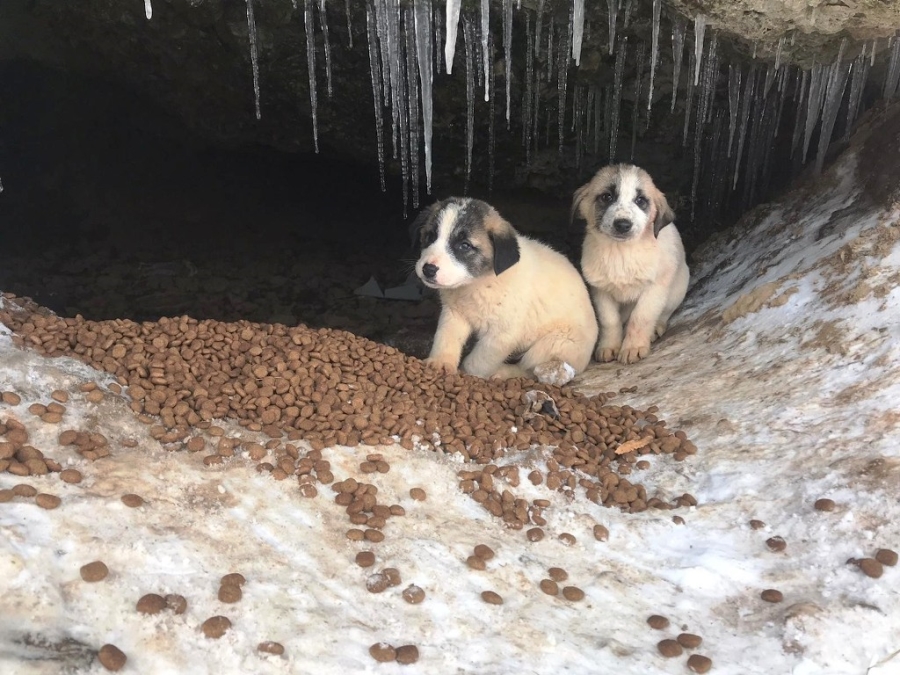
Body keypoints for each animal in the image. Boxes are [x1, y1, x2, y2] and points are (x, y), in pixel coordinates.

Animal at [414, 197, 596, 386]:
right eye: (430, 236)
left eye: (465, 246)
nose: (428, 269)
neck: (476, 284)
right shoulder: (454, 314)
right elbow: (445, 339)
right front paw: (440, 362)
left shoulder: (501, 335)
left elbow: (476, 362)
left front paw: (467, 375)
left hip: (551, 344)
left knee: (530, 369)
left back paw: (503, 372)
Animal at [572, 163, 692, 364]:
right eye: (607, 197)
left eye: (640, 200)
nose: (622, 224)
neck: (621, 253)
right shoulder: (600, 291)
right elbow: (609, 320)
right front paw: (609, 346)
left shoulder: (654, 289)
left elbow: (641, 318)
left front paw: (633, 347)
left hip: (677, 289)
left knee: (663, 314)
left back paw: (655, 329)